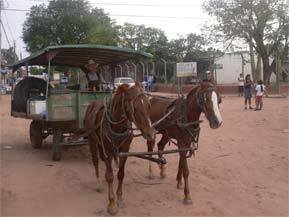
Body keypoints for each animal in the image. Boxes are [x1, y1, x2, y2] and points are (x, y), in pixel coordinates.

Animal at [84, 82, 155, 215]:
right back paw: (99, 184)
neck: (116, 126)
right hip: (92, 140)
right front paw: (112, 204)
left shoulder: (124, 150)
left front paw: (120, 198)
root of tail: (92, 103)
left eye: (148, 105)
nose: (151, 133)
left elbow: (121, 174)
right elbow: (110, 176)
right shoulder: (108, 152)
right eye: (134, 107)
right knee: (95, 160)